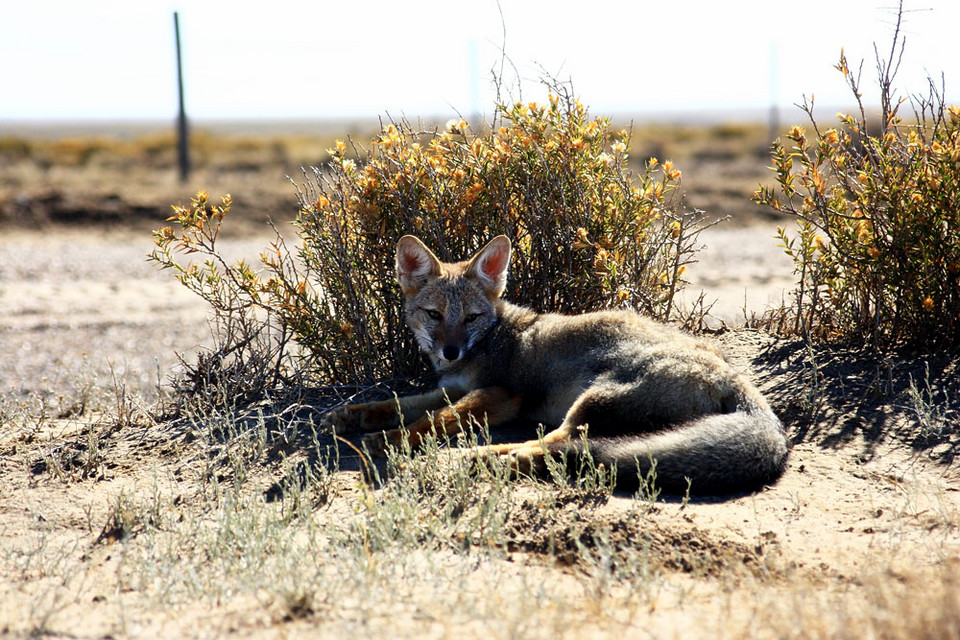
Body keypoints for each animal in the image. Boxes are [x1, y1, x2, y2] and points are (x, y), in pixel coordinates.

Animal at [322, 235, 788, 496]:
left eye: (471, 318)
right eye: (434, 315)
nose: (450, 352)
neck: (492, 337)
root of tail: (738, 380)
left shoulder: (499, 394)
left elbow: (432, 420)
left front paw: (389, 441)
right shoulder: (455, 385)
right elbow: (403, 403)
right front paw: (352, 415)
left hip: (591, 401)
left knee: (558, 446)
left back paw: (479, 459)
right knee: (547, 445)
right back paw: (482, 456)